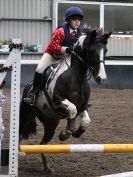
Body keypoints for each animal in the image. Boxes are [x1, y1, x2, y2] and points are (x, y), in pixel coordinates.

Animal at [19, 29, 111, 174]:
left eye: (105, 51)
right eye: (92, 51)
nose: (102, 78)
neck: (77, 77)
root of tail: (28, 87)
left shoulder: (83, 105)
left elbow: (85, 120)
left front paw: (76, 132)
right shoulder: (57, 100)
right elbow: (72, 109)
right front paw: (64, 134)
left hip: (51, 123)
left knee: (42, 144)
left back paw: (47, 167)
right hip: (27, 116)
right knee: (19, 134)